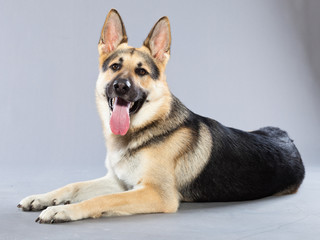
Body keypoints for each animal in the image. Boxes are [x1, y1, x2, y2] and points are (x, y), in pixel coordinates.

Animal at [17, 8, 304, 223]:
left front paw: (63, 210)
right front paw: (42, 198)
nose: (121, 86)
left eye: (142, 72)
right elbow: (74, 185)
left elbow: (101, 199)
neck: (144, 129)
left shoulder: (155, 194)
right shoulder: (119, 182)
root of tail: (287, 137)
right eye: (115, 67)